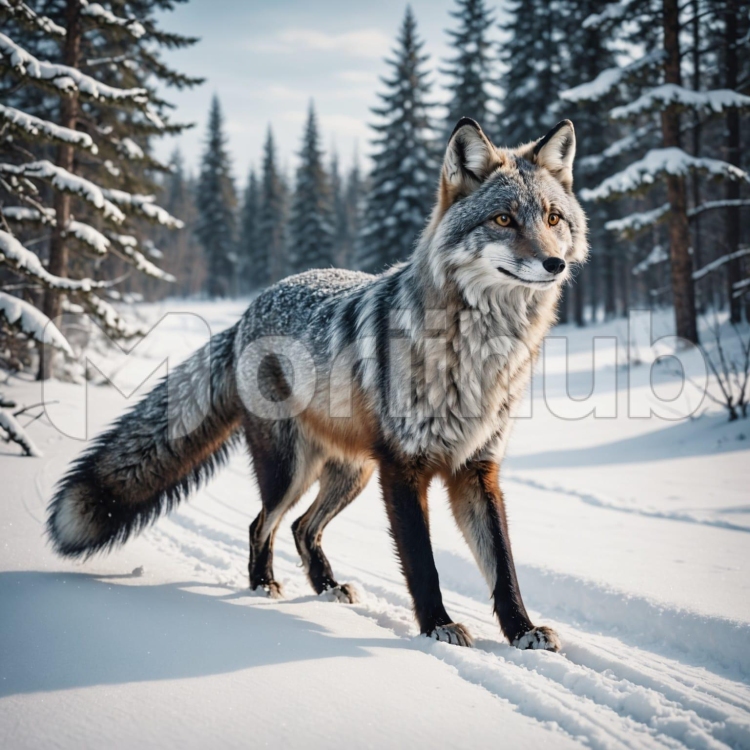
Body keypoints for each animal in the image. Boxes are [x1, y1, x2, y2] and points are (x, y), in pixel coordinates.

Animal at [48, 118, 587, 651]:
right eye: (503, 220)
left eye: (552, 219)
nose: (554, 264)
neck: (478, 358)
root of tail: (249, 310)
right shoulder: (403, 468)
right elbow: (424, 565)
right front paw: (437, 627)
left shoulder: (477, 468)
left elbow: (503, 566)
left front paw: (522, 630)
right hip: (291, 470)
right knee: (262, 523)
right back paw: (263, 585)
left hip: (351, 473)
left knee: (303, 528)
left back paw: (326, 587)